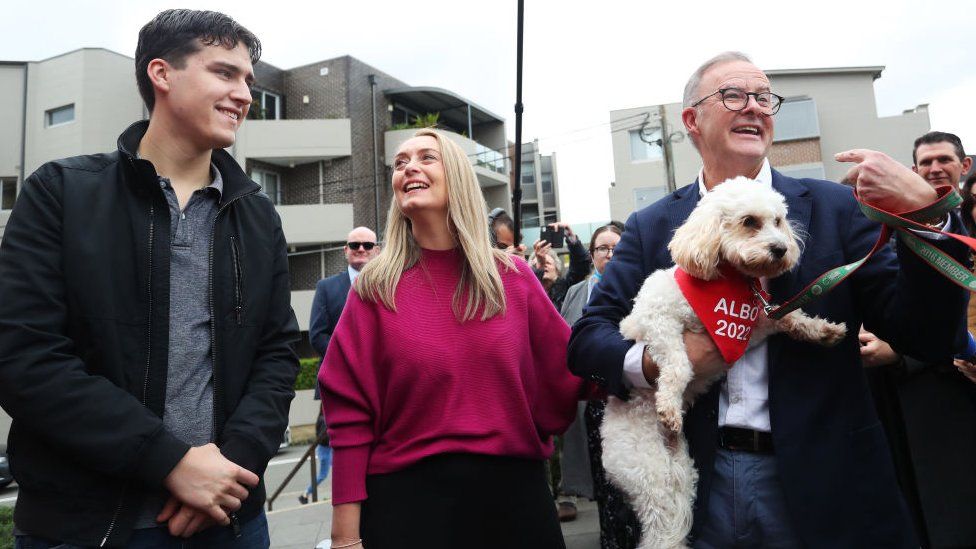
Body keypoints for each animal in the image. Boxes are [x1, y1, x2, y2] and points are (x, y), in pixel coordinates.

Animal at [600, 178, 844, 544]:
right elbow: (679, 365)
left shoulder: (756, 325)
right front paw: (669, 405)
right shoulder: (658, 319)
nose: (780, 249)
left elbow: (790, 316)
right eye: (749, 222)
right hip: (649, 474)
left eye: (778, 221)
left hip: (681, 475)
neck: (727, 282)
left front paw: (822, 330)